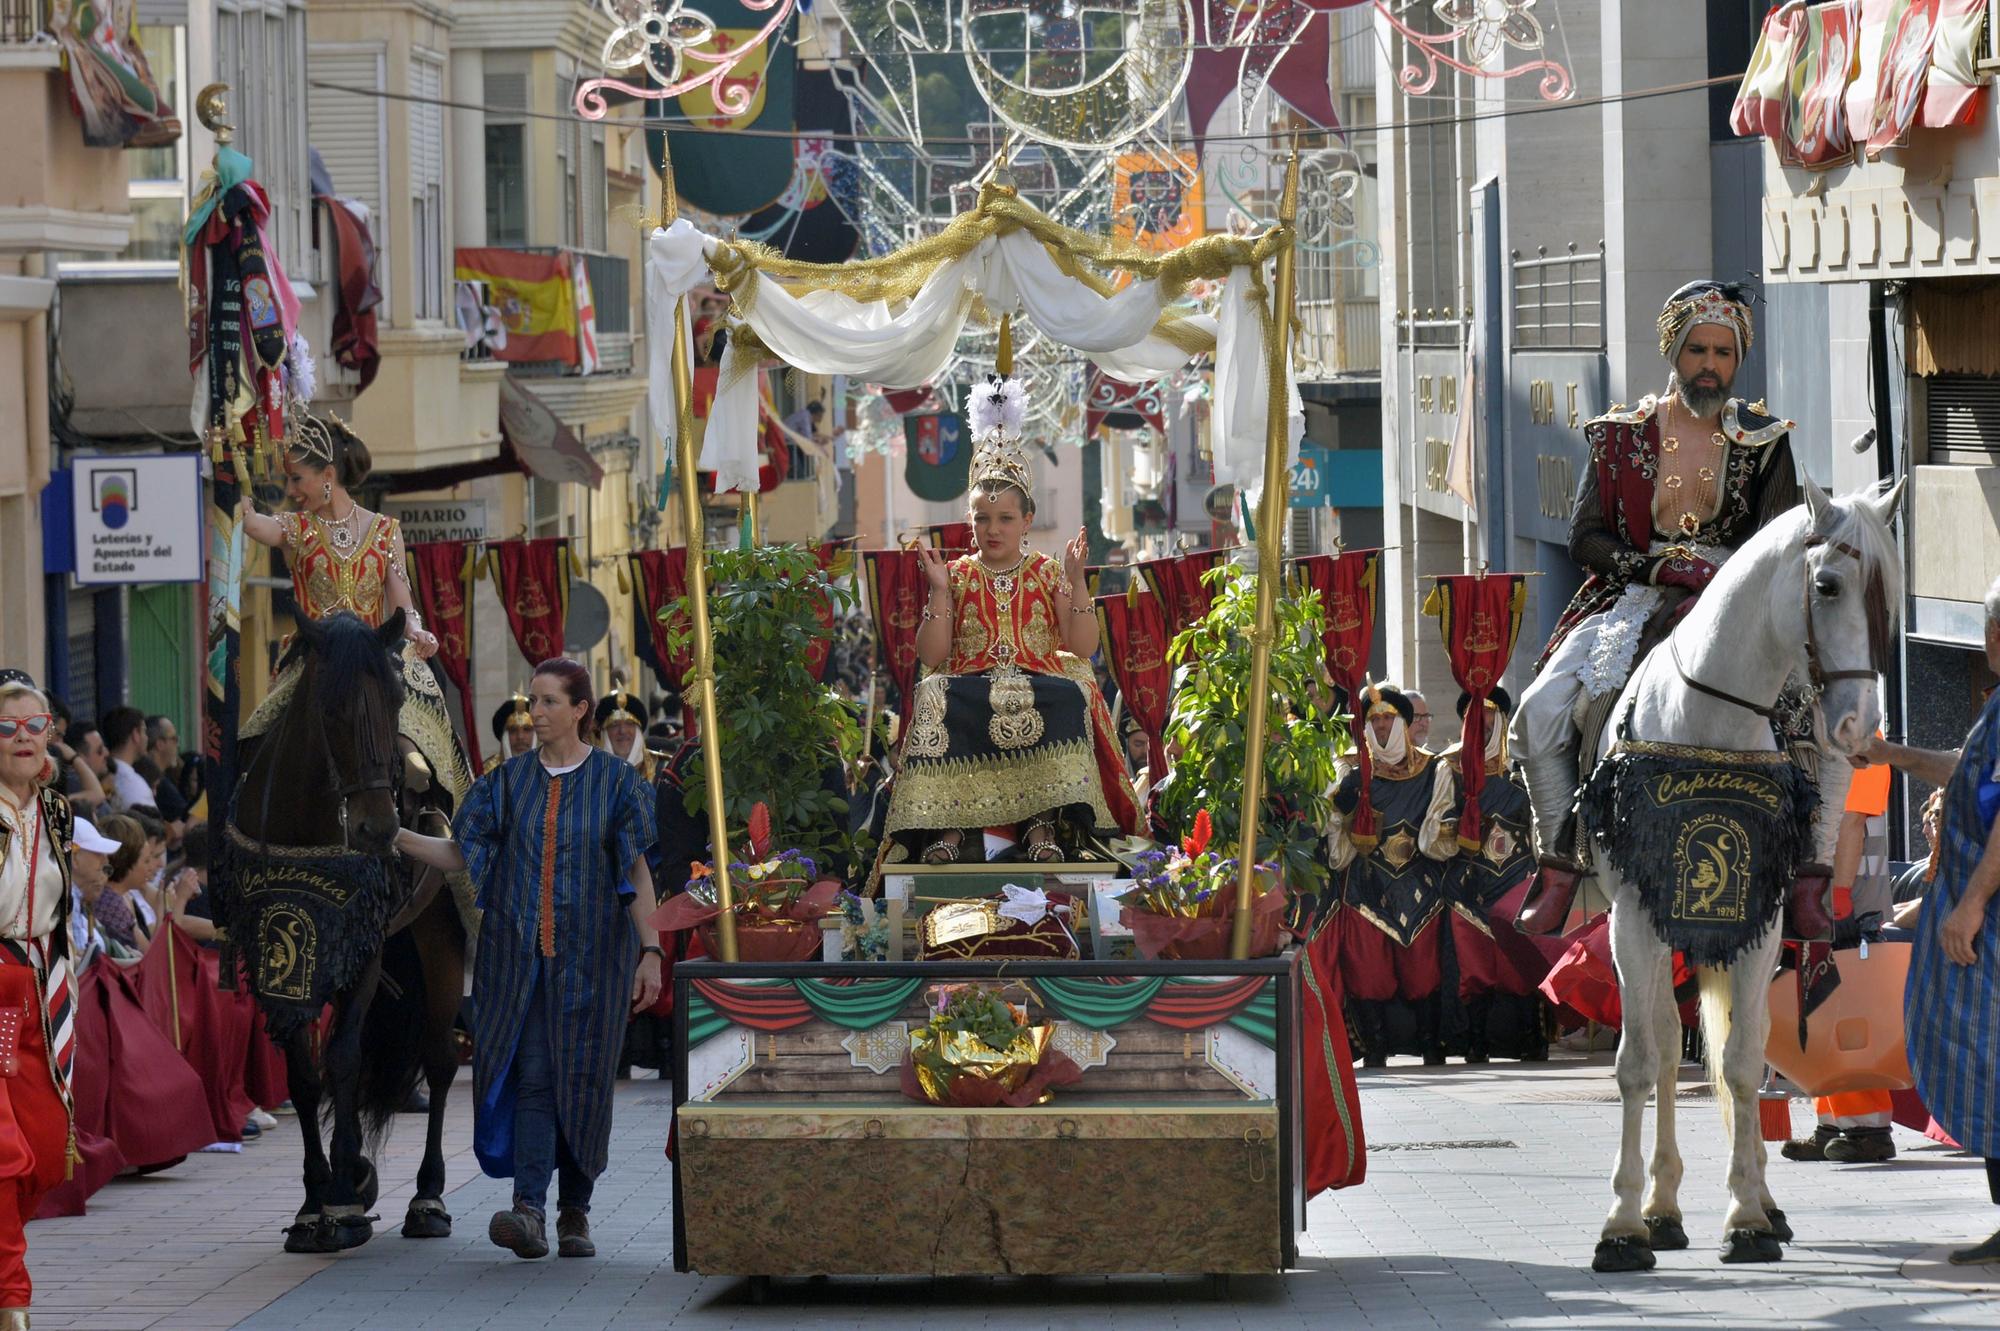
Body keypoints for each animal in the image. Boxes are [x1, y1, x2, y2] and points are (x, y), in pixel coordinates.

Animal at [225, 607, 466, 1247]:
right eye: (330, 709)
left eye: (394, 700)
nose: (378, 828)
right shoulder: (278, 952)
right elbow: (305, 1075)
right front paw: (317, 1201)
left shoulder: (364, 947)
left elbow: (344, 1059)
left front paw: (342, 1192)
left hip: (439, 942)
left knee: (440, 1058)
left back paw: (428, 1198)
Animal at [1576, 473, 1904, 1263]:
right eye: (1827, 585)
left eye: (1890, 600)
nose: (1859, 729)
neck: (1706, 722)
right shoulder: (1635, 917)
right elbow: (1641, 1060)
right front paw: (1624, 1224)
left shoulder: (1758, 921)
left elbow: (1745, 1060)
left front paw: (1748, 1218)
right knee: (1669, 1047)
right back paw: (1662, 1208)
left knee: (1733, 1047)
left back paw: (1757, 1199)